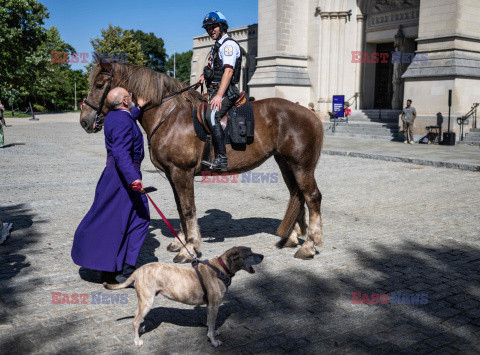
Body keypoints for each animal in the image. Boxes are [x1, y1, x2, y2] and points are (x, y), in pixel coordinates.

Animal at [80, 60, 324, 262]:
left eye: (100, 85)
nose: (85, 120)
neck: (168, 116)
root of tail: (309, 113)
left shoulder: (182, 172)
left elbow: (188, 209)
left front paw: (189, 248)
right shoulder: (172, 174)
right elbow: (180, 207)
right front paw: (179, 241)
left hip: (301, 166)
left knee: (312, 197)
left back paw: (309, 246)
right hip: (286, 164)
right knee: (297, 195)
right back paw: (292, 238)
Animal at [102, 248, 264, 348]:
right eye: (250, 254)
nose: (262, 256)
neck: (221, 268)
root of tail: (138, 270)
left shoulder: (210, 306)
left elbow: (210, 322)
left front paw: (213, 332)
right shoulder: (214, 304)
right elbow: (211, 324)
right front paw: (213, 341)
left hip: (144, 300)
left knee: (137, 316)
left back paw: (140, 330)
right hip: (148, 301)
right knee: (135, 321)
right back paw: (137, 341)